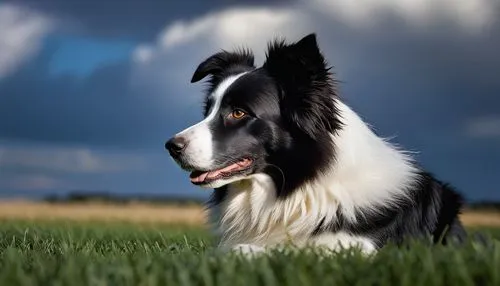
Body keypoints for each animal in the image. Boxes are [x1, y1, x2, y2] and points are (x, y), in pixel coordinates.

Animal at [164, 33, 468, 255]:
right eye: (208, 111)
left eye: (238, 113)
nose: (171, 146)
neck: (296, 188)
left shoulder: (357, 247)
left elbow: (256, 250)